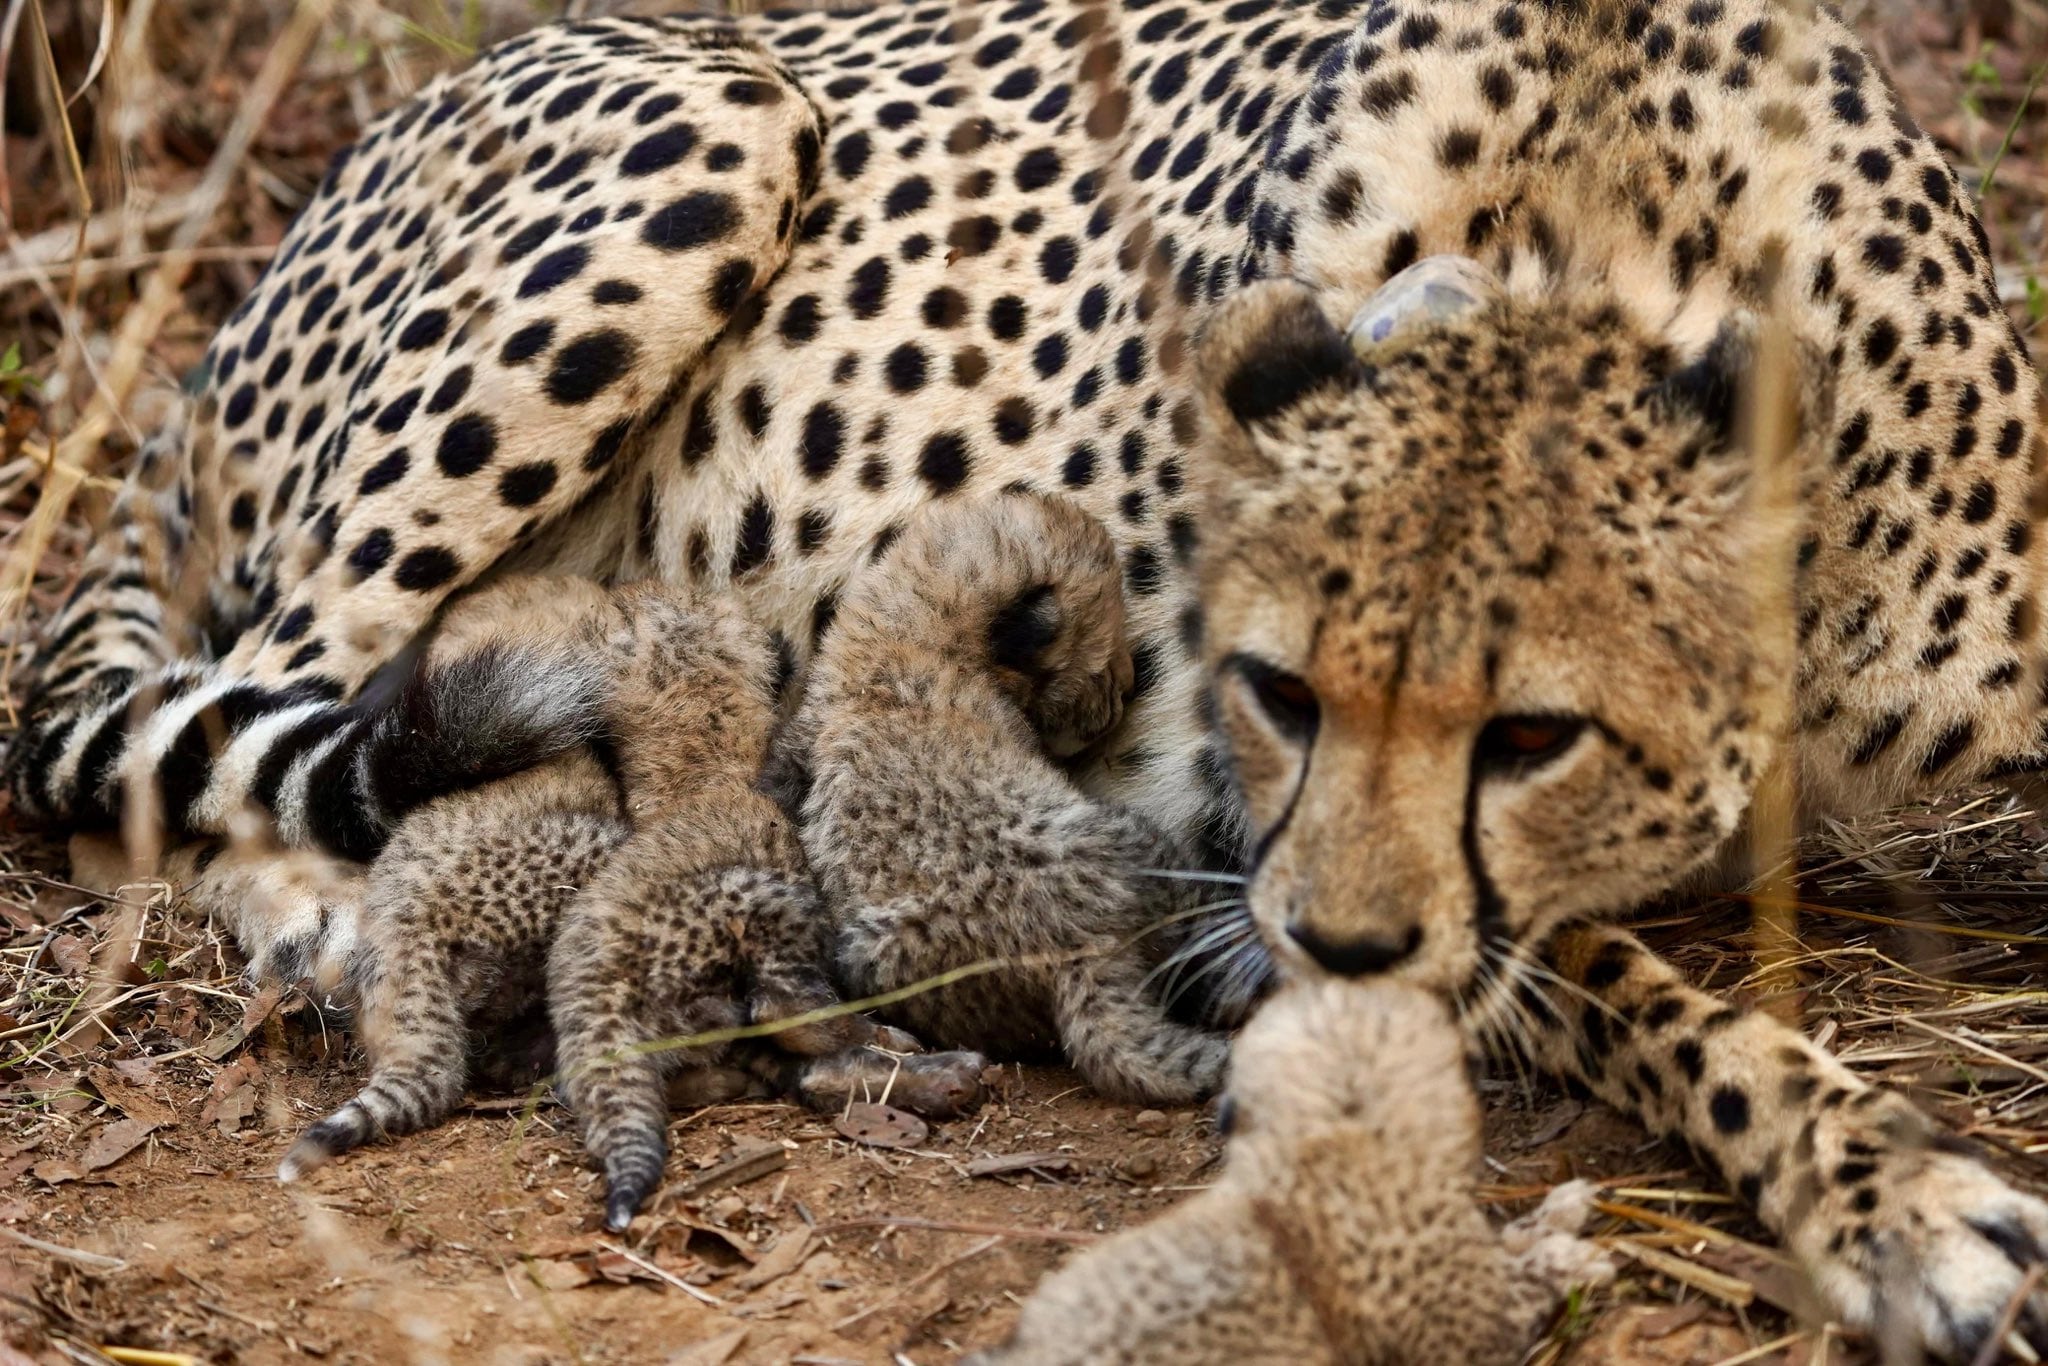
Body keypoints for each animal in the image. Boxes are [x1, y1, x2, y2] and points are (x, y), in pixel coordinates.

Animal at [779, 489, 1233, 1104]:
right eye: (1107, 653)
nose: (1127, 689)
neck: (909, 632)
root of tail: (1079, 951)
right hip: (1132, 839)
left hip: (867, 953)